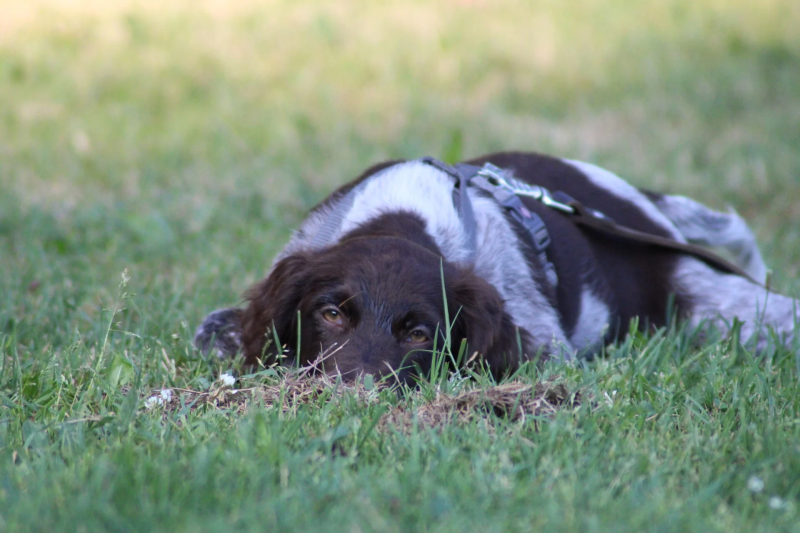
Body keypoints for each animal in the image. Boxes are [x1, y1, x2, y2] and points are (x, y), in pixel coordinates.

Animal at [195, 152, 798, 382]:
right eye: (330, 315)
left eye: (420, 334)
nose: (355, 394)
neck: (403, 215)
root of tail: (641, 205)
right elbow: (222, 334)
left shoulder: (539, 343)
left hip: (722, 307)